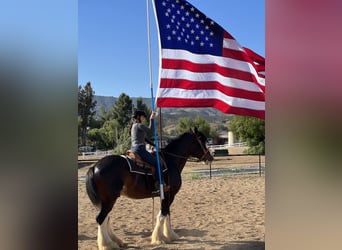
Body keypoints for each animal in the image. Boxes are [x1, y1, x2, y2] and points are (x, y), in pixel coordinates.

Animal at [85, 128, 214, 249]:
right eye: (201, 140)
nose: (210, 157)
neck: (170, 161)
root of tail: (94, 166)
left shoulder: (166, 195)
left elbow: (166, 214)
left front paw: (170, 235)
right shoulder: (170, 194)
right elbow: (163, 214)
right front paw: (159, 239)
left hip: (106, 201)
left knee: (106, 218)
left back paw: (116, 241)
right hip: (109, 200)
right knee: (101, 219)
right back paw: (108, 245)